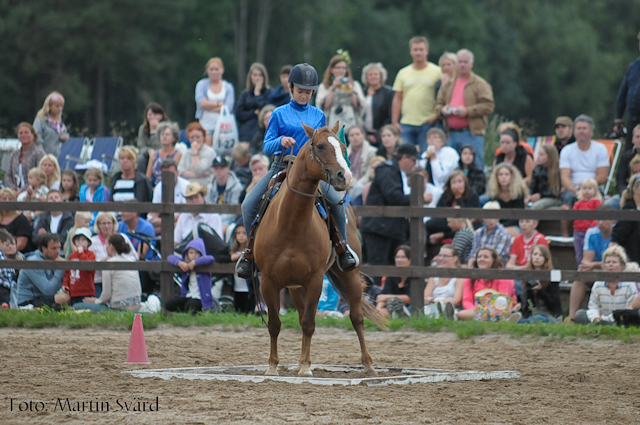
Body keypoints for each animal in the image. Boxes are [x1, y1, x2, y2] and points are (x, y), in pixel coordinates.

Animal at [254, 121, 384, 376]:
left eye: (343, 147)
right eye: (321, 146)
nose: (345, 176)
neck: (291, 222)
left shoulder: (315, 279)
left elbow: (309, 323)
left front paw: (305, 367)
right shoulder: (268, 281)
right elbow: (275, 324)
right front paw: (273, 366)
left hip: (349, 275)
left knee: (357, 317)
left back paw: (368, 365)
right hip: (295, 287)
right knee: (302, 313)